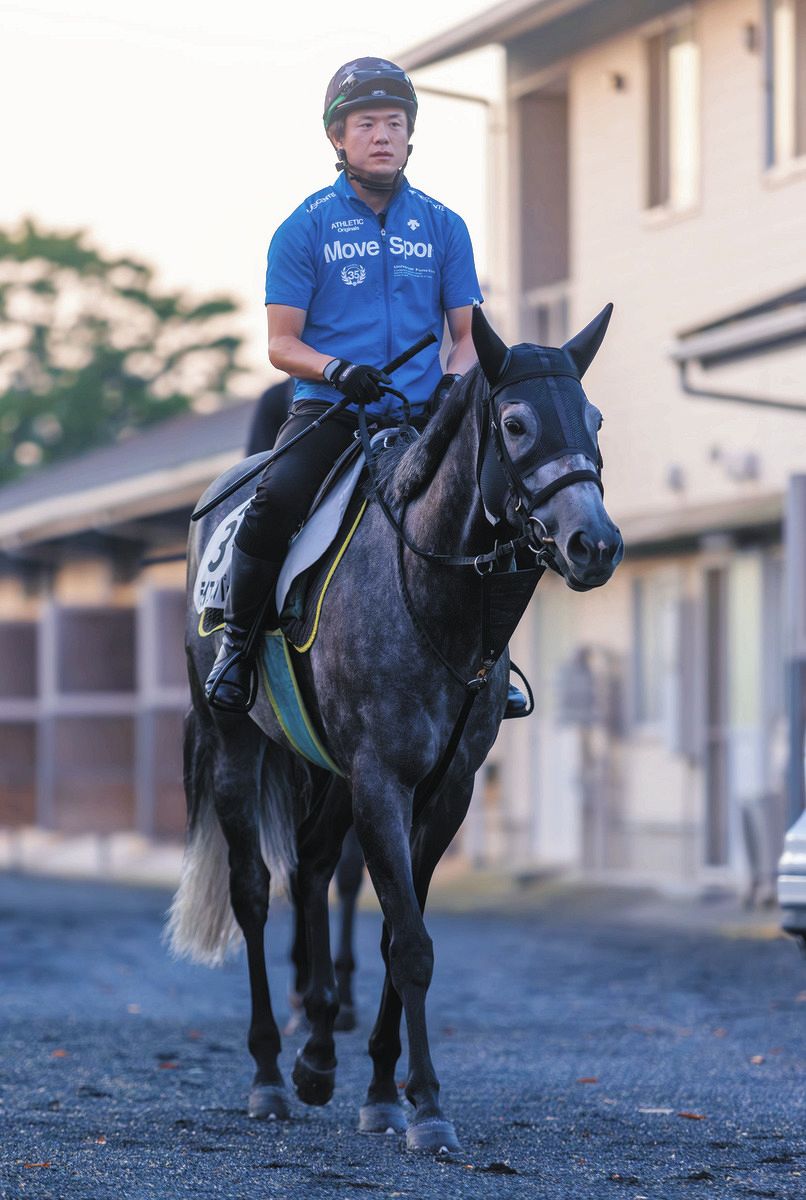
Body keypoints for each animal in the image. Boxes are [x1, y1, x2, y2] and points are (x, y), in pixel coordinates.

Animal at [167, 303, 623, 1153]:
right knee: (255, 892)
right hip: (237, 748)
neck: (431, 592)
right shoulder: (382, 780)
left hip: (328, 774)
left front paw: (383, 1088)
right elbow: (408, 941)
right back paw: (270, 1072)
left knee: (313, 871)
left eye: (595, 419)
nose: (596, 544)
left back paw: (317, 1052)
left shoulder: (444, 791)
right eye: (515, 423)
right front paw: (428, 1106)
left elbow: (395, 931)